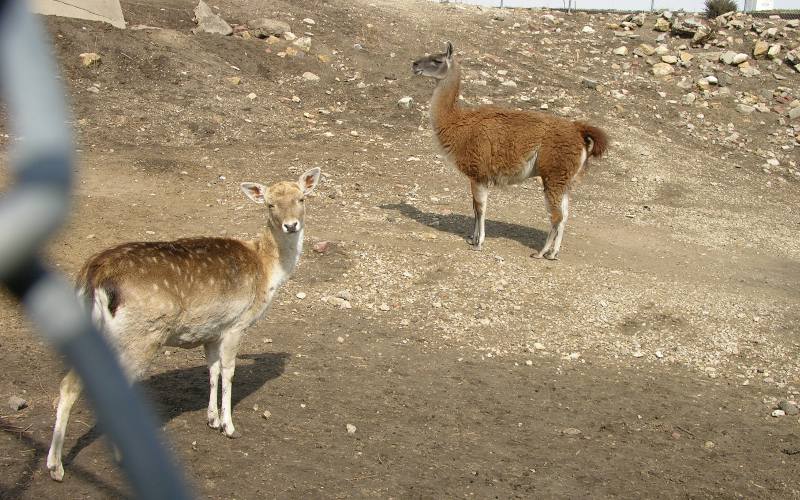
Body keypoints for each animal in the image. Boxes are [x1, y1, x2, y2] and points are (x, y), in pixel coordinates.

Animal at [47, 167, 320, 480]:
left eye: (301, 198)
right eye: (270, 204)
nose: (291, 225)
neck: (267, 270)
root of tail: (93, 274)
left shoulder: (212, 331)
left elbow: (212, 370)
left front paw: (212, 419)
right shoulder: (236, 324)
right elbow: (229, 371)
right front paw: (229, 426)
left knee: (69, 383)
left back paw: (56, 464)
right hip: (140, 335)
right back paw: (102, 458)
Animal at [412, 42, 608, 260]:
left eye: (437, 60)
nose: (414, 64)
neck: (458, 124)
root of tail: (578, 131)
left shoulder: (479, 172)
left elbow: (480, 208)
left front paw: (479, 243)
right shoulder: (476, 176)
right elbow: (474, 207)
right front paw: (472, 238)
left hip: (554, 174)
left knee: (556, 216)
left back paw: (541, 252)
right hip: (564, 179)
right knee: (564, 216)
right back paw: (553, 253)